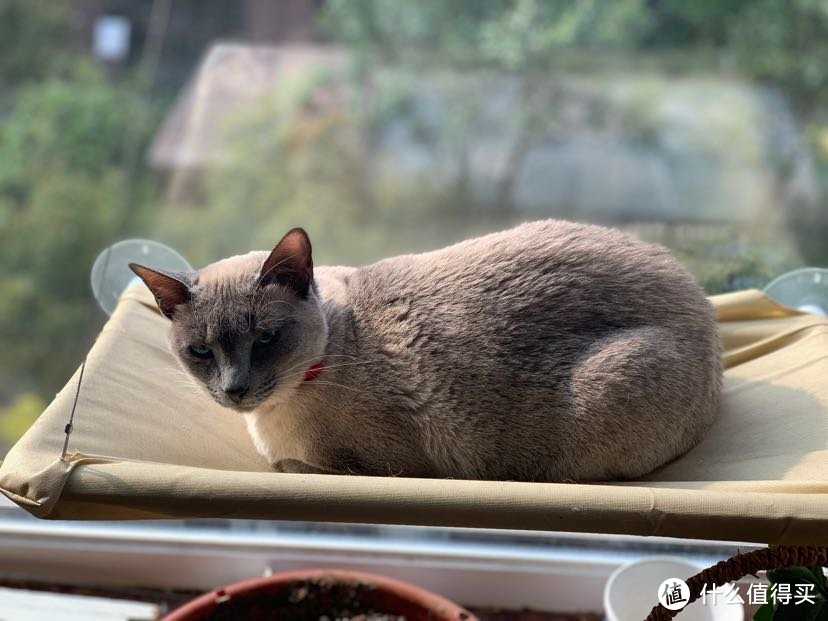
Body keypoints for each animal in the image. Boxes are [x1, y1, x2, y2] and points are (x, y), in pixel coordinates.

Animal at [129, 220, 720, 482]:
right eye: (201, 352)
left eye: (266, 340)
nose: (235, 389)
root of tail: (702, 304)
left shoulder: (377, 468)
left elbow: (298, 466)